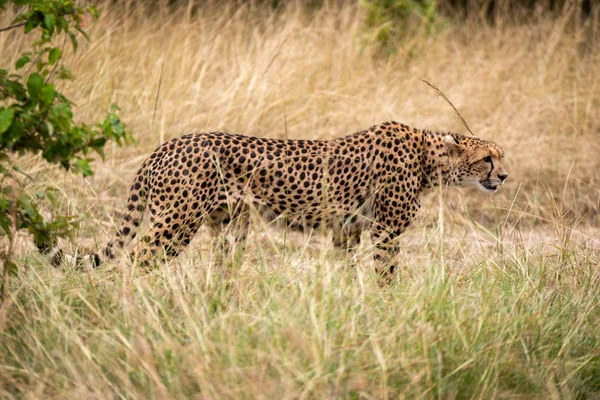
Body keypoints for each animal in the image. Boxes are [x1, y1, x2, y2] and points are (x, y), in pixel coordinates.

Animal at [49, 121, 506, 276]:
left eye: (501, 157)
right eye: (487, 158)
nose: (503, 176)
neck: (430, 157)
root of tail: (167, 144)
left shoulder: (347, 230)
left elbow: (346, 271)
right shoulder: (386, 230)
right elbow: (386, 274)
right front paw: (386, 306)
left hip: (229, 223)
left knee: (221, 265)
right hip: (177, 221)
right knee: (138, 258)